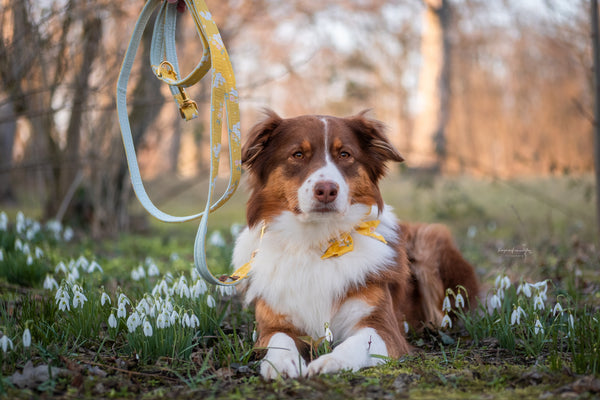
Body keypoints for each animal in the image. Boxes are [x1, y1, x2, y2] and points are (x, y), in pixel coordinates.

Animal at [232, 111, 480, 380]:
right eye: (297, 154)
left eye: (345, 154)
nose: (326, 190)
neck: (317, 241)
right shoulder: (271, 324)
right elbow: (279, 340)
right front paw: (282, 363)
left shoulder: (383, 327)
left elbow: (358, 343)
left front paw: (331, 362)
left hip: (429, 239)